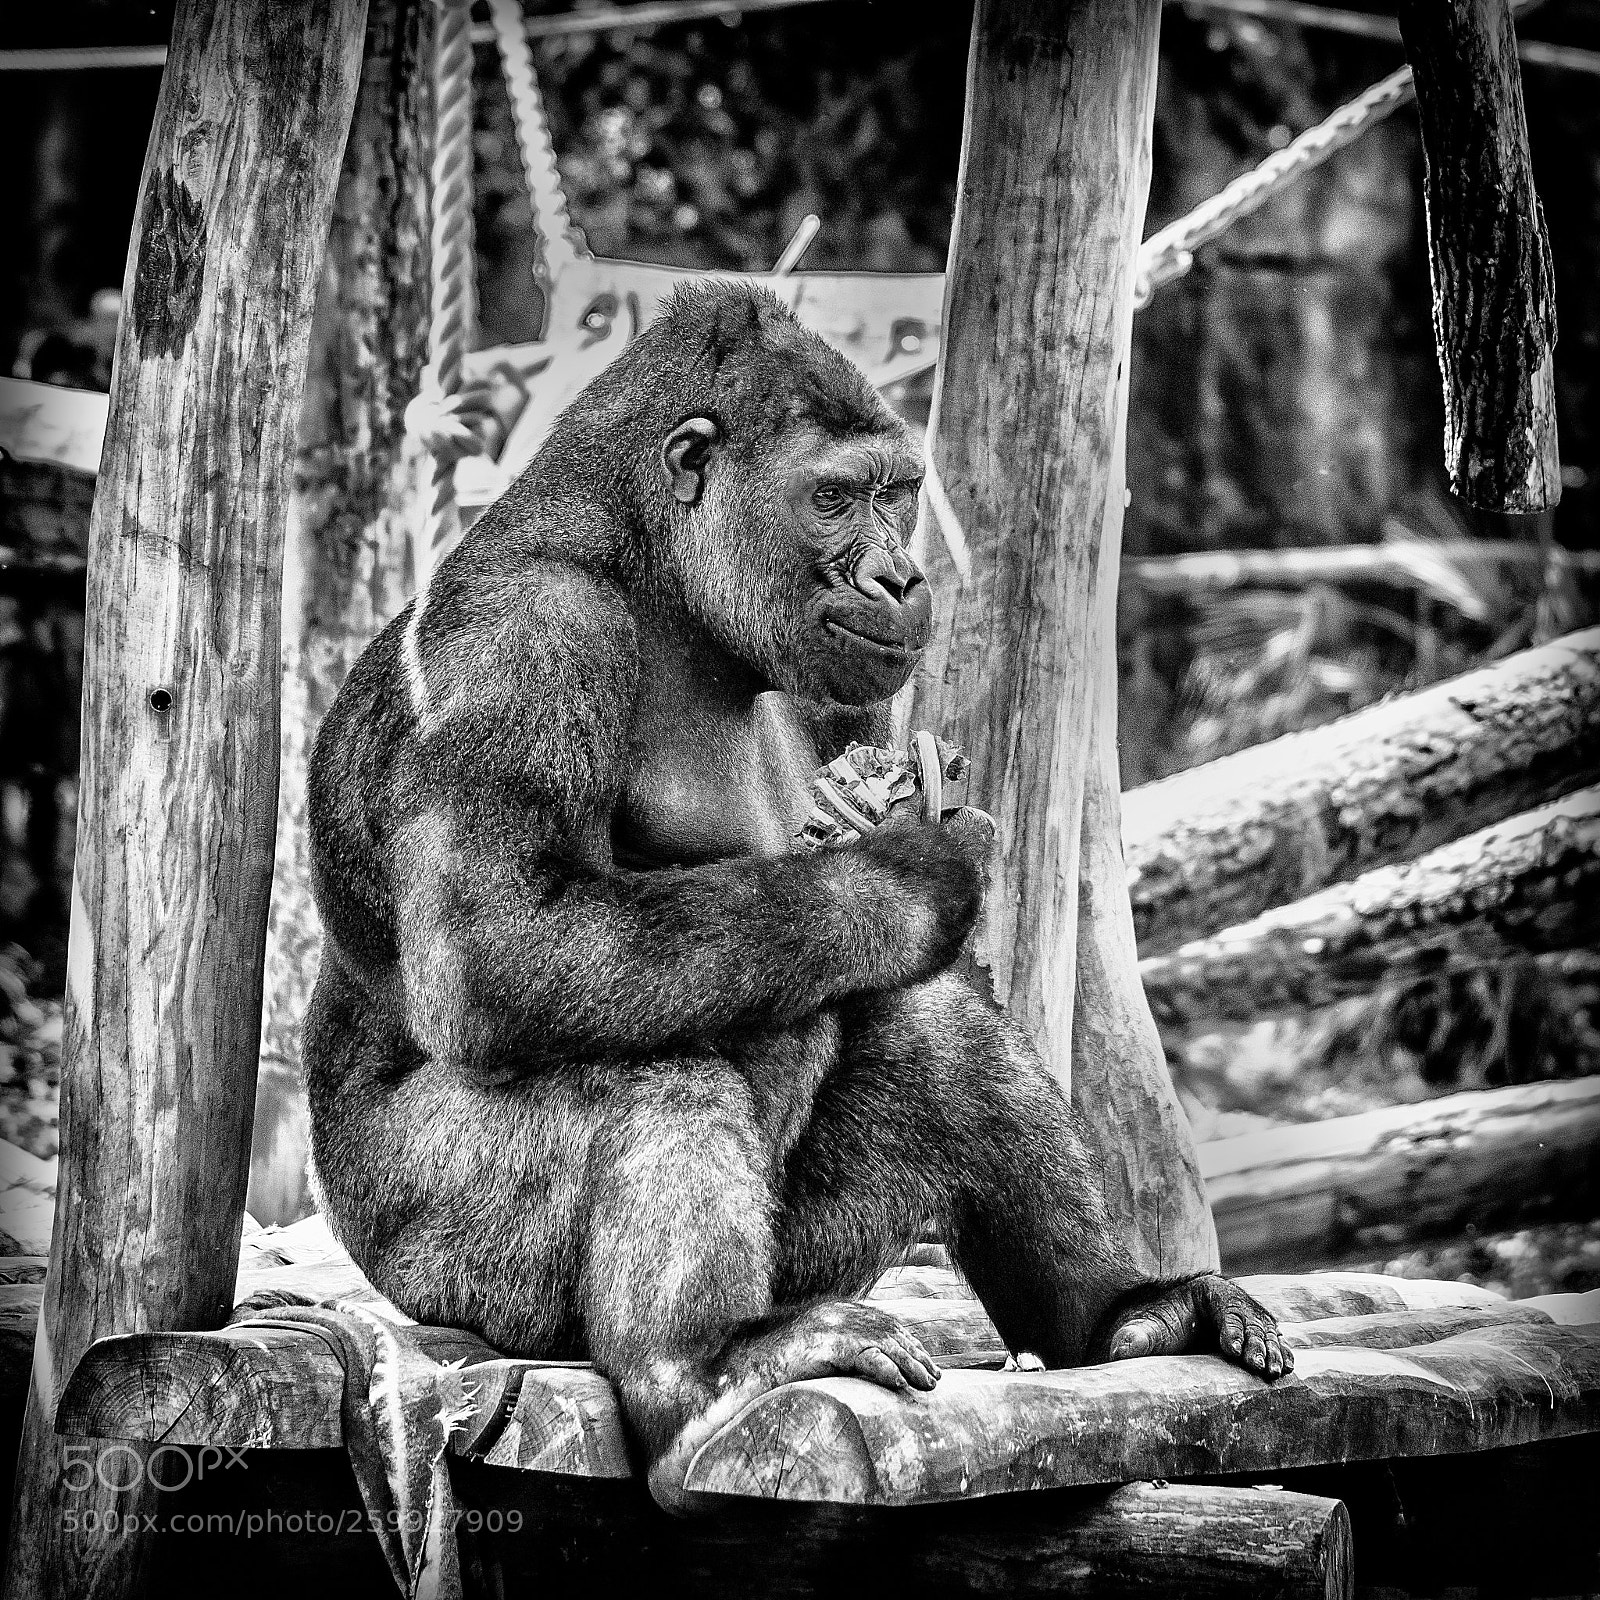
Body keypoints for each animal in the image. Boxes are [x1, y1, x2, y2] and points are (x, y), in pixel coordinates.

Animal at [303, 281, 1291, 1513]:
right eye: (832, 498)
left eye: (895, 495)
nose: (899, 579)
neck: (661, 578)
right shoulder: (527, 634)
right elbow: (498, 944)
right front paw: (906, 879)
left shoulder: (848, 692)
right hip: (447, 1271)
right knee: (663, 1069)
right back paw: (702, 1368)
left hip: (801, 1250)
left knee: (924, 1023)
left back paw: (1119, 1317)